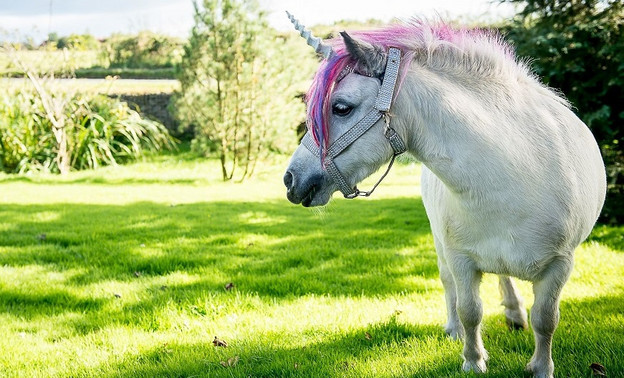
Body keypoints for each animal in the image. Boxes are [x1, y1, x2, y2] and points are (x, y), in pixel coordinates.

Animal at [282, 14, 604, 378]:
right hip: (439, 242)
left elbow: (546, 319)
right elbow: (470, 310)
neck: (514, 175)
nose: (290, 179)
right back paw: (457, 328)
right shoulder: (461, 258)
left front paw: (540, 367)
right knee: (451, 283)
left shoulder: (560, 265)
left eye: (341, 108)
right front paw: (473, 361)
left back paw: (514, 314)